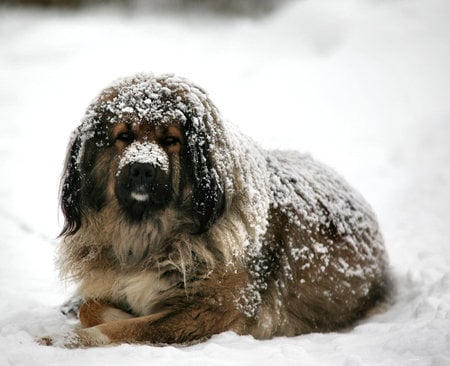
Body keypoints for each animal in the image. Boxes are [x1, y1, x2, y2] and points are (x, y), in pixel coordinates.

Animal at [49, 73, 388, 348]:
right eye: (124, 137)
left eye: (170, 140)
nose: (142, 168)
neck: (151, 232)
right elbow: (91, 306)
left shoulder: (213, 312)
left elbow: (128, 327)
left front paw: (63, 339)